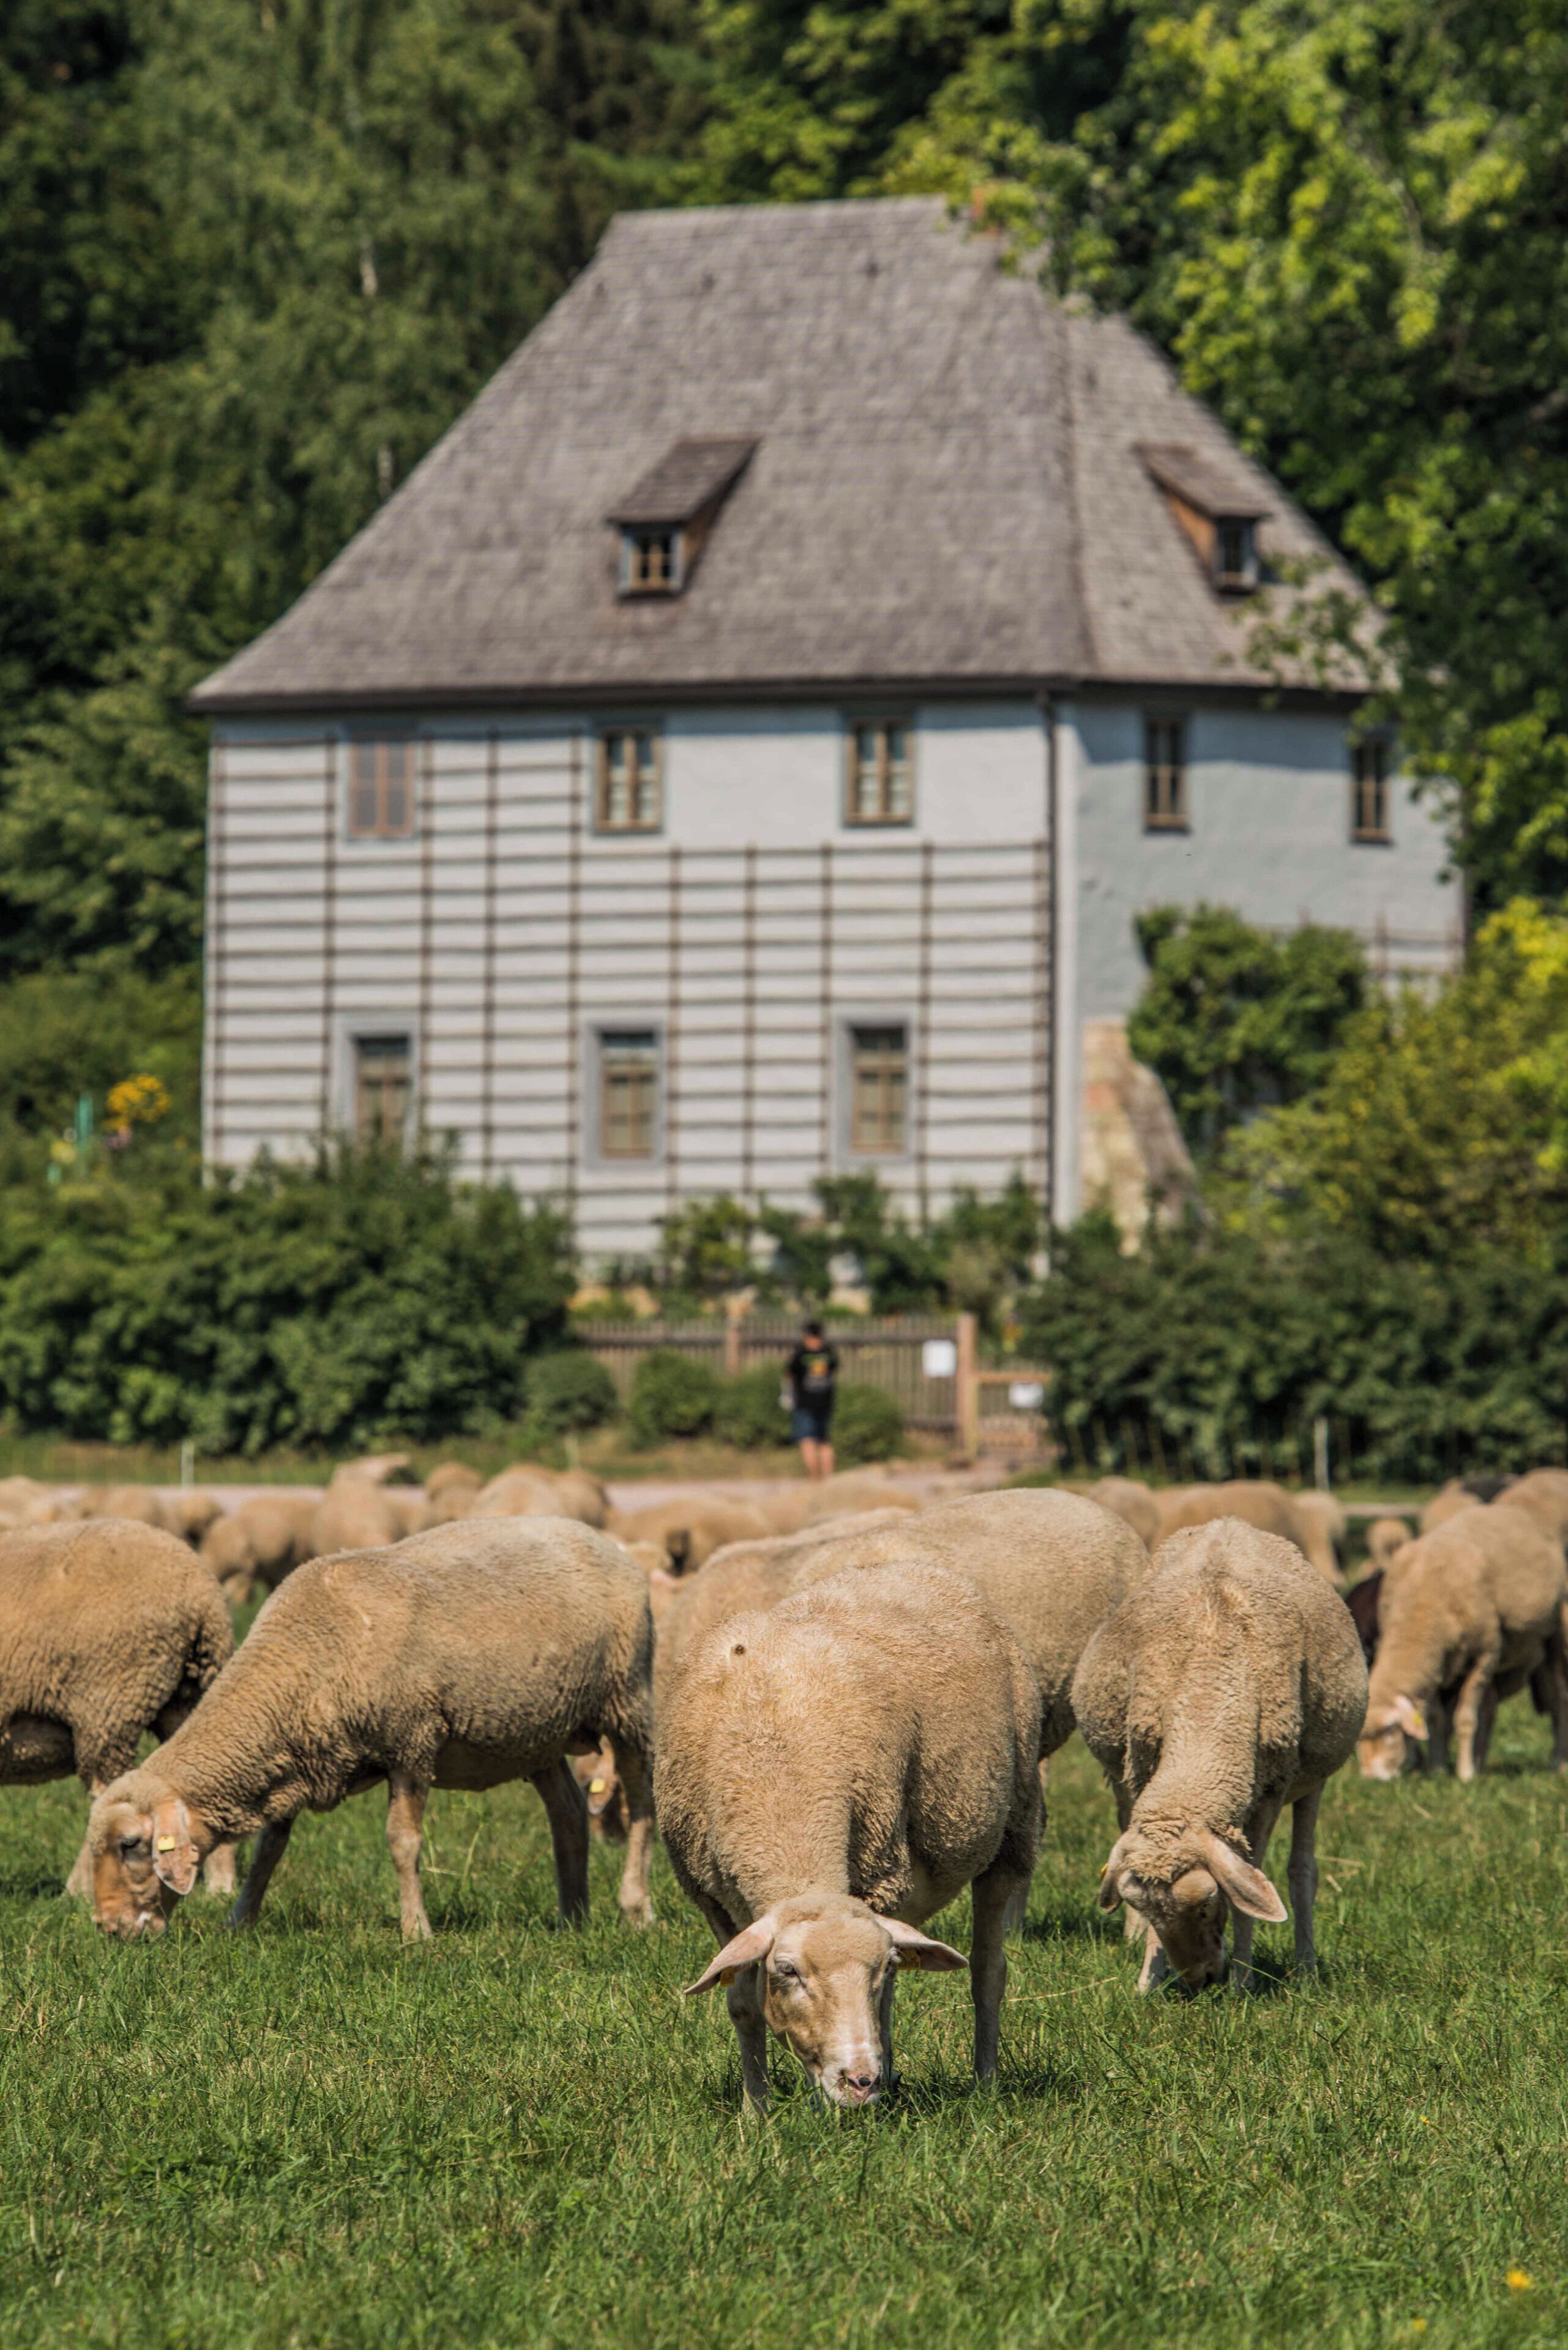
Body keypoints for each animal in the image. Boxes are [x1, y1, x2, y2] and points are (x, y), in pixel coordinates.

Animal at [1, 1520, 236, 1898]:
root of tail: (205, 1593)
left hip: (108, 1704)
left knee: (107, 1799)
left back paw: (79, 1892)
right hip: (187, 1697)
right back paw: (219, 1888)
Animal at [87, 1516, 656, 1941]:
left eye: (131, 1844)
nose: (111, 1930)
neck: (301, 1657)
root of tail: (599, 1538)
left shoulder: (411, 1743)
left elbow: (402, 1842)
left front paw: (416, 1932)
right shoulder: (295, 1758)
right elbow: (269, 1848)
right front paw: (239, 1921)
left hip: (628, 1698)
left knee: (642, 1805)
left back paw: (635, 1909)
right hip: (537, 1733)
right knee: (569, 1813)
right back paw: (573, 1917)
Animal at [658, 1560, 1042, 2106]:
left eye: (878, 1969)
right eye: (788, 1971)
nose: (859, 2082)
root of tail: (915, 1568)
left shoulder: (878, 1874)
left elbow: (884, 2007)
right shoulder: (712, 1898)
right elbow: (742, 2002)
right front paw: (757, 2108)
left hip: (1012, 1829)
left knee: (989, 1970)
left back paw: (984, 2082)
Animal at [1074, 1520, 1367, 1991]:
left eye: (1206, 1906)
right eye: (1148, 1910)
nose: (1200, 1981)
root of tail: (1228, 1523)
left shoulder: (1268, 1790)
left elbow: (1252, 1876)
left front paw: (1243, 1981)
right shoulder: (1146, 1768)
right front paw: (1149, 1978)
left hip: (1313, 1780)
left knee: (1302, 1870)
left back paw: (1305, 1968)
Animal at [1358, 1503, 1568, 1782]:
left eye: (1391, 1731)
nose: (1370, 1779)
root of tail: (1504, 1510)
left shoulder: (1484, 1654)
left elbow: (1466, 1718)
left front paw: (1465, 1774)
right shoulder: (1437, 1663)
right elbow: (1436, 1718)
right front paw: (1438, 1768)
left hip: (1554, 1634)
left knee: (1559, 1699)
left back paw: (1558, 1762)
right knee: (1489, 1707)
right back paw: (1481, 1761)